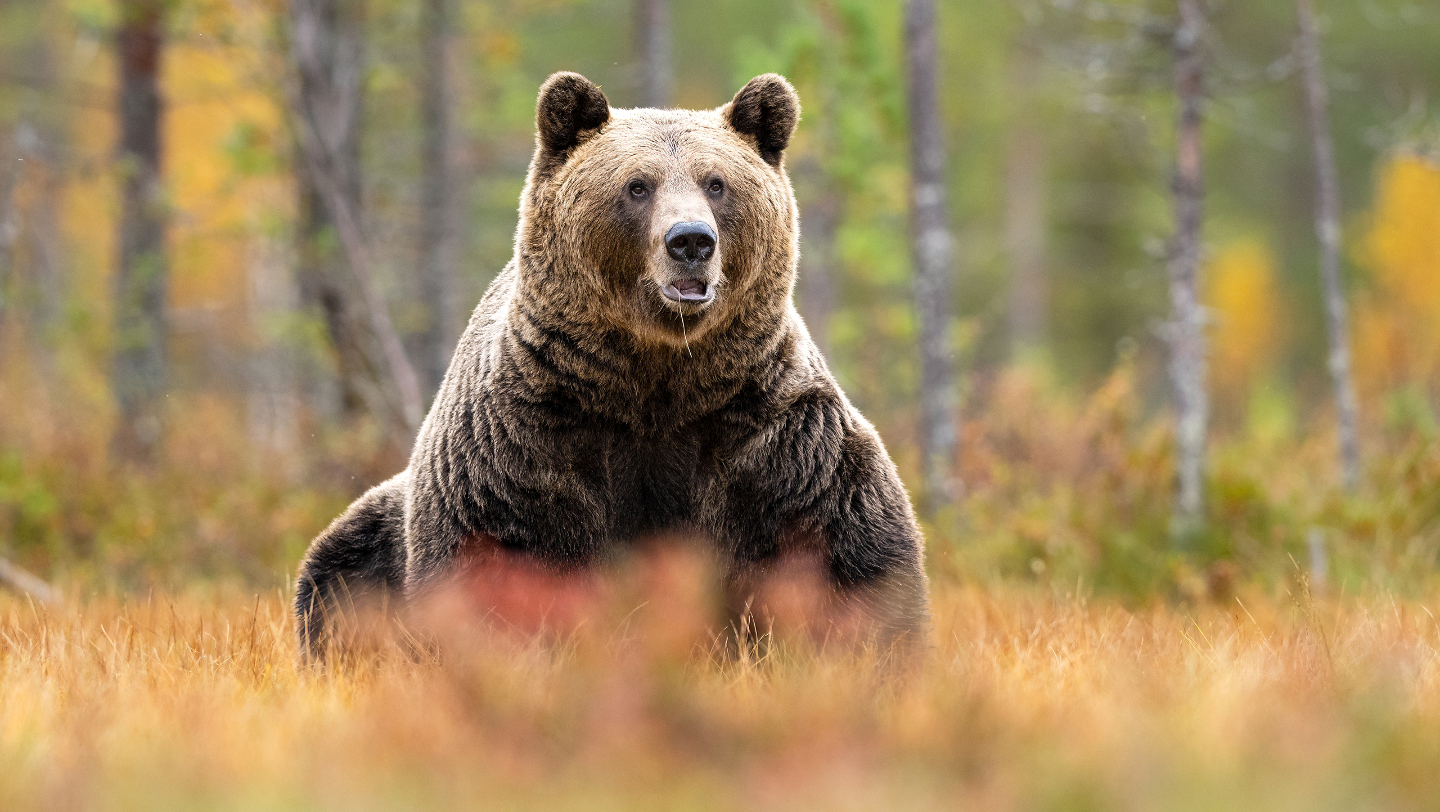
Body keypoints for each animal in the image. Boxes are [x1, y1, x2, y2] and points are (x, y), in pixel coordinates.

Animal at [294, 72, 931, 661]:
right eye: (637, 185)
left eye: (717, 183)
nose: (691, 240)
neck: (654, 380)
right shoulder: (527, 442)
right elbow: (499, 564)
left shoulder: (770, 436)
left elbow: (845, 552)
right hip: (378, 529)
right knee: (339, 574)